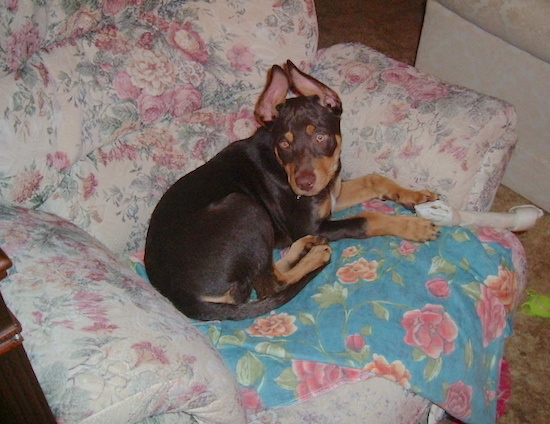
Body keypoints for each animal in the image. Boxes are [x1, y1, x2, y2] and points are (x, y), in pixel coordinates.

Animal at [146, 61, 440, 322]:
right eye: (285, 144)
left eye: (320, 137)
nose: (305, 183)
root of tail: (178, 295)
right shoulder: (312, 223)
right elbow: (368, 219)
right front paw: (414, 227)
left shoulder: (331, 194)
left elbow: (374, 180)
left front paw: (417, 197)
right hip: (245, 208)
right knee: (270, 285)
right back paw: (315, 255)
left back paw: (305, 248)